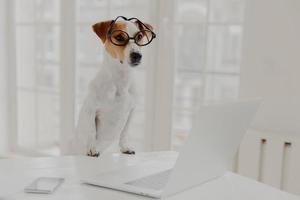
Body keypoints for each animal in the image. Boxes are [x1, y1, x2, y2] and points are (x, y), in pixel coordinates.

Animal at [69, 16, 156, 156]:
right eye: (119, 37)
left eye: (139, 36)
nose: (137, 55)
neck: (120, 81)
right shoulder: (91, 109)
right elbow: (92, 131)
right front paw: (92, 148)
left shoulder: (132, 111)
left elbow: (125, 132)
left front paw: (125, 147)